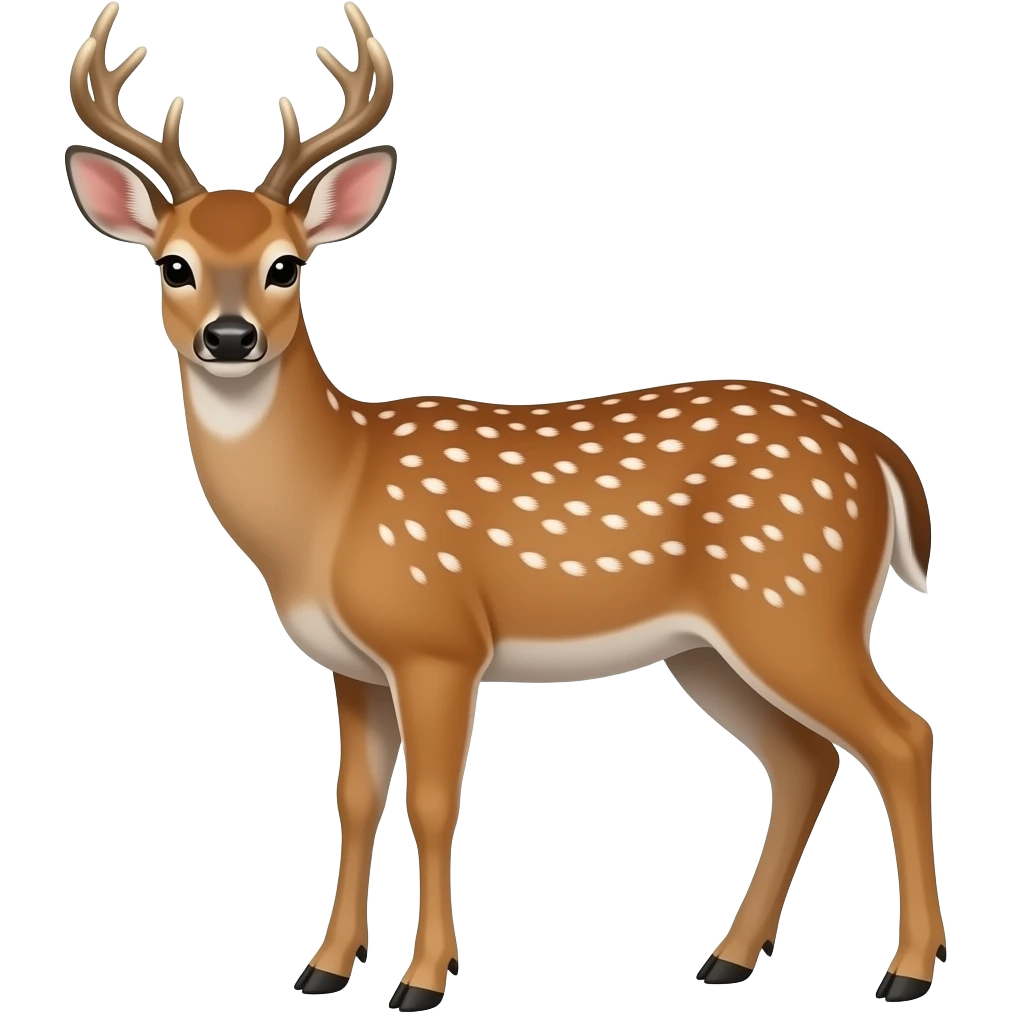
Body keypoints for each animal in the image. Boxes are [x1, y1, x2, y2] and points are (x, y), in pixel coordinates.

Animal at [64, 4, 945, 1008]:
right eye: (172, 265)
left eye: (287, 266)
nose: (229, 335)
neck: (330, 499)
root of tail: (879, 452)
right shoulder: (352, 665)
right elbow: (354, 800)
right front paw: (324, 968)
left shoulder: (438, 638)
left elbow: (434, 802)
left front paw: (422, 978)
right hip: (711, 646)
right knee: (806, 759)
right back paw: (726, 956)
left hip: (796, 601)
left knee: (900, 737)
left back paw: (905, 970)